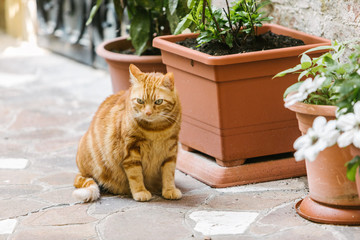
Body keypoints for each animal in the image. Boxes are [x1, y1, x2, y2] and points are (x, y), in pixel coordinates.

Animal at [72, 63, 183, 201]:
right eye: (140, 101)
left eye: (158, 102)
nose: (148, 113)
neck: (156, 130)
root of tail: (81, 171)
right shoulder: (130, 152)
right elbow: (136, 175)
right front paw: (140, 192)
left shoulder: (171, 149)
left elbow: (169, 173)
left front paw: (169, 189)